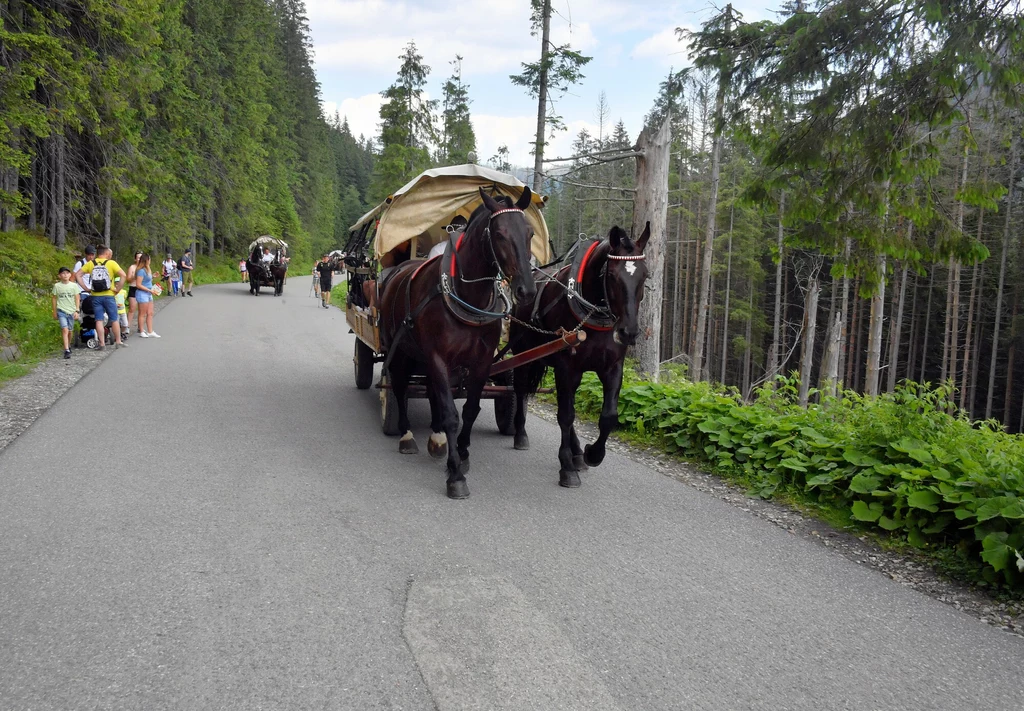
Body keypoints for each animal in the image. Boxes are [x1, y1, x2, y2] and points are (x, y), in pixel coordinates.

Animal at [376, 189, 536, 502]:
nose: (526, 290)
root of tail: (398, 270)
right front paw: (456, 475)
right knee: (399, 386)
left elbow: (469, 410)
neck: (467, 296)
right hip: (399, 350)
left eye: (530, 233)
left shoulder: (480, 362)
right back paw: (406, 435)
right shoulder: (438, 356)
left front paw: (460, 453)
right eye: (499, 234)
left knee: (430, 390)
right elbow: (451, 414)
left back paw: (436, 438)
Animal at [509, 223, 647, 489]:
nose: (629, 332)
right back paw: (520, 434)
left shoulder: (613, 367)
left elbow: (608, 416)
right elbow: (565, 415)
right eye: (612, 275)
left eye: (644, 275)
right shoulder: (567, 367)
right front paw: (566, 468)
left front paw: (593, 454)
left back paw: (578, 453)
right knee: (520, 390)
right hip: (522, 354)